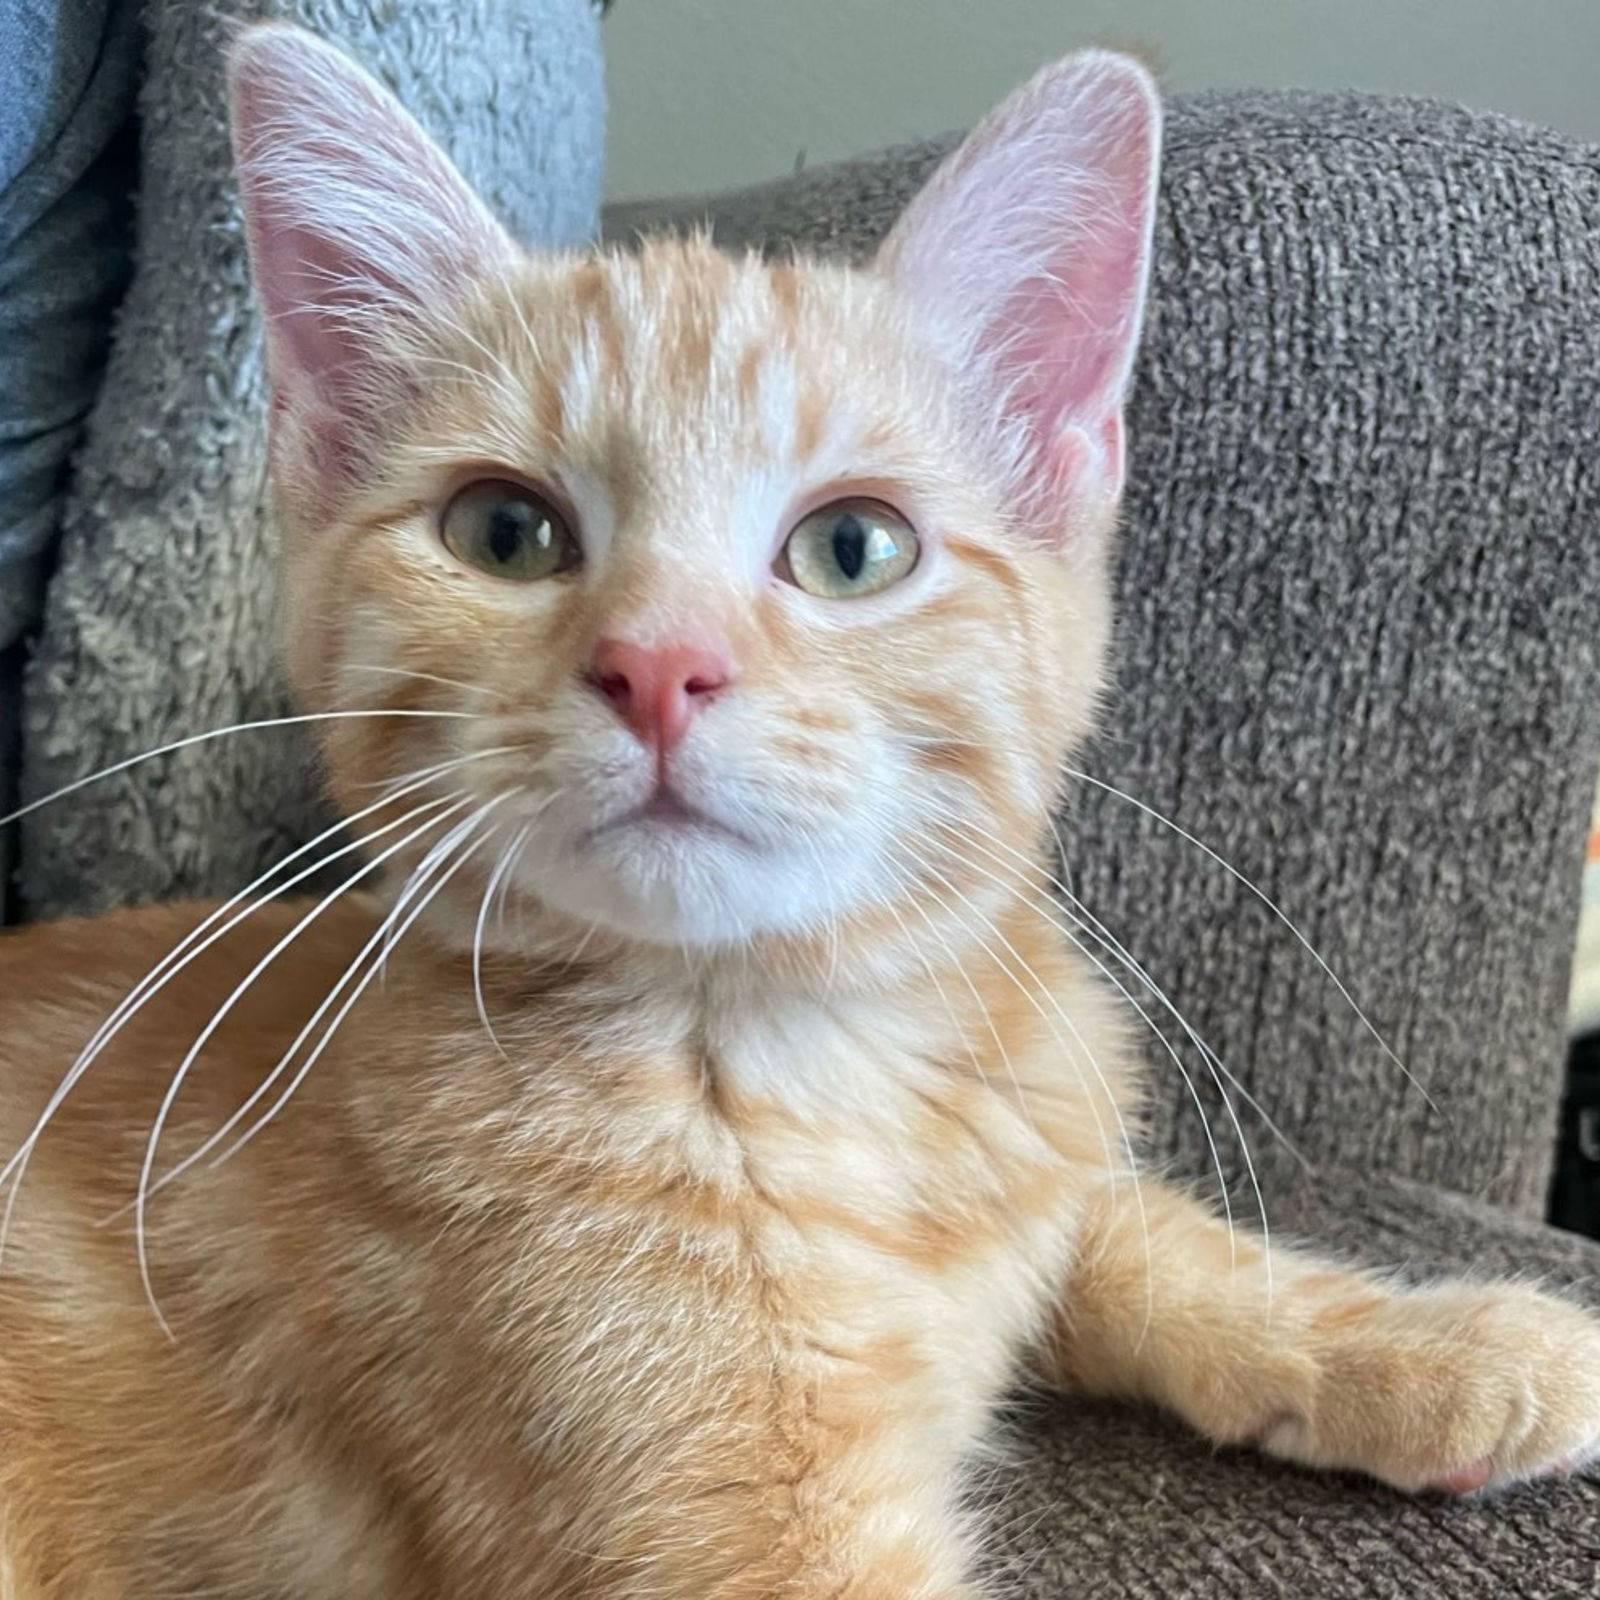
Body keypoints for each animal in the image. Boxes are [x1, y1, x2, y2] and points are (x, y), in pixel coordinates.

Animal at [3, 25, 1600, 1600]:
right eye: (504, 532)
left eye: (853, 547)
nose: (658, 666)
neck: (805, 1055)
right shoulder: (745, 1544)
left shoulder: (1037, 1135)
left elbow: (1133, 1228)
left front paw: (1436, 1344)